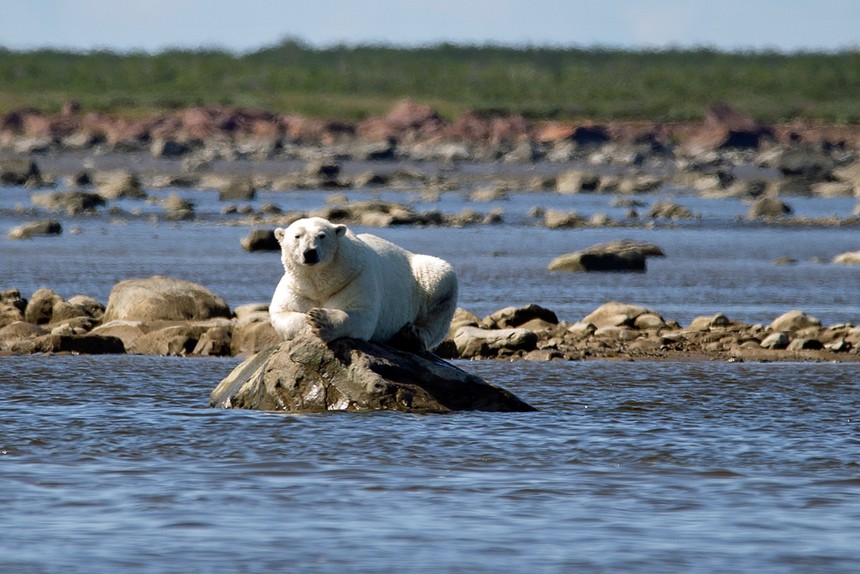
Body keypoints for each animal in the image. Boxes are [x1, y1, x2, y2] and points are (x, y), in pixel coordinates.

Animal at [270, 218, 460, 354]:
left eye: (322, 235)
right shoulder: (296, 288)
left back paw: (412, 336)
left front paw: (320, 320)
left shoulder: (354, 278)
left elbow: (362, 314)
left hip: (425, 279)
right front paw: (310, 320)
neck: (320, 282)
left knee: (440, 293)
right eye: (297, 236)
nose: (310, 253)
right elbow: (281, 313)